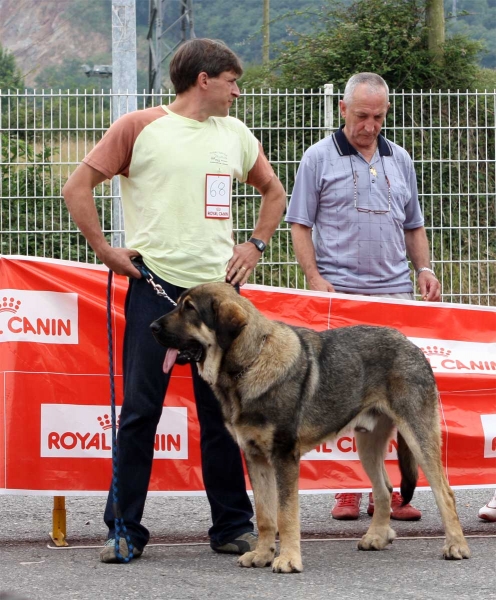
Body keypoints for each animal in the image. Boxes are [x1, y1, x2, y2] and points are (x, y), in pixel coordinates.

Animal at [150, 284, 468, 576]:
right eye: (180, 304)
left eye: (190, 309)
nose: (152, 327)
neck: (250, 362)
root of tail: (411, 344)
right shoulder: (256, 458)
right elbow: (266, 515)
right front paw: (262, 555)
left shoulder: (284, 457)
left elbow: (285, 514)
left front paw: (288, 559)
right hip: (368, 444)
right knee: (385, 489)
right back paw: (376, 537)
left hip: (418, 436)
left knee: (444, 492)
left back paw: (456, 545)